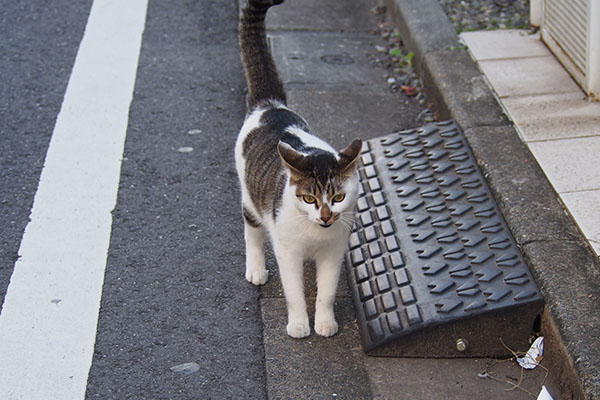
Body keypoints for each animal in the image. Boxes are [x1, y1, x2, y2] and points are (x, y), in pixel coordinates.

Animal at [236, 0, 360, 338]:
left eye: (339, 197)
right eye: (309, 198)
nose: (326, 215)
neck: (315, 235)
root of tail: (270, 105)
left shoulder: (333, 252)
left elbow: (327, 292)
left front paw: (326, 323)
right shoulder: (287, 250)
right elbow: (294, 292)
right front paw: (299, 325)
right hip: (250, 198)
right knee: (252, 231)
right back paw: (256, 269)